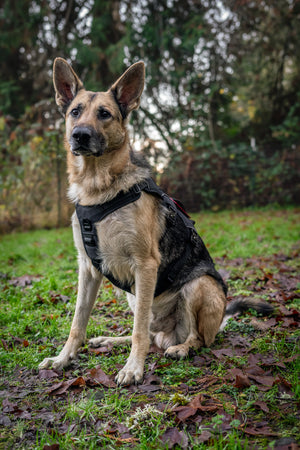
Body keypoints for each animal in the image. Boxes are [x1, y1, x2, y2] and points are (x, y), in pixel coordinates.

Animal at [38, 58, 274, 384]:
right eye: (75, 111)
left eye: (104, 114)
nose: (80, 135)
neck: (99, 190)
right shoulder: (87, 269)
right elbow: (77, 323)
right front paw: (63, 359)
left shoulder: (145, 265)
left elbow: (139, 331)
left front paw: (133, 369)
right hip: (133, 295)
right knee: (150, 333)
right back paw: (111, 340)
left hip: (198, 286)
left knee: (193, 338)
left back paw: (181, 348)